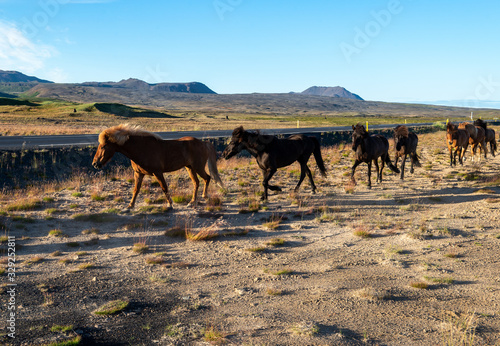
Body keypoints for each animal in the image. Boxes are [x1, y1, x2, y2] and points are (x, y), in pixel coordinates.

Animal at [92, 125, 225, 211]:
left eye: (103, 146)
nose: (95, 164)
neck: (141, 149)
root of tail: (204, 143)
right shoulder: (138, 173)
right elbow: (136, 190)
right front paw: (129, 206)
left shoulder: (157, 173)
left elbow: (164, 187)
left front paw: (170, 204)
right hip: (190, 168)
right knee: (196, 182)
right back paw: (192, 202)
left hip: (197, 167)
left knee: (207, 178)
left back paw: (204, 196)